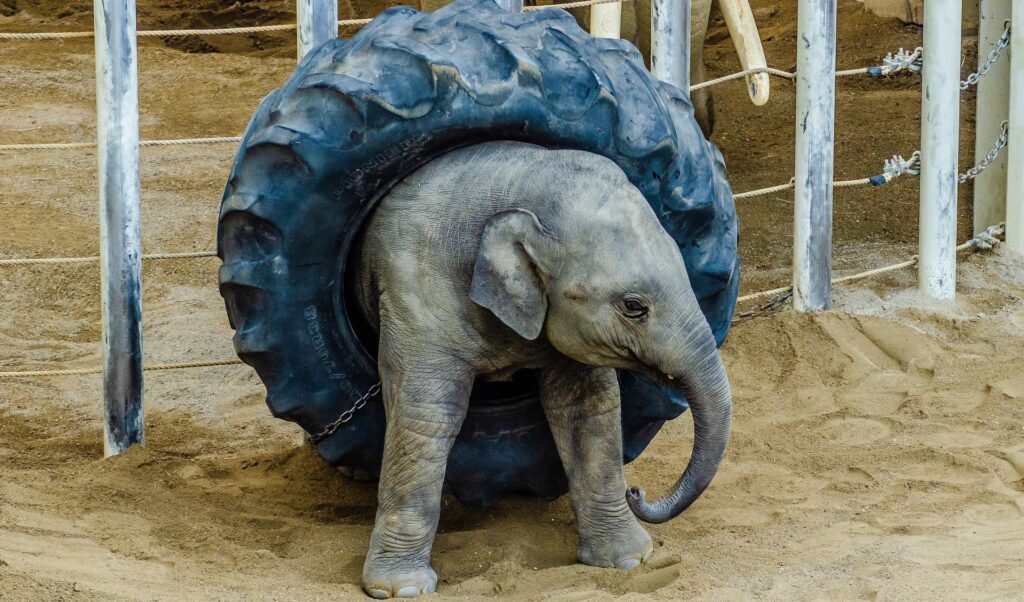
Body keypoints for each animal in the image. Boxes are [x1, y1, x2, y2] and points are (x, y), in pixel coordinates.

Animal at [349, 141, 733, 598]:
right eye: (633, 306)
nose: (636, 491)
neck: (515, 186)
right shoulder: (414, 293)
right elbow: (426, 417)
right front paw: (401, 590)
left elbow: (586, 407)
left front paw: (628, 561)